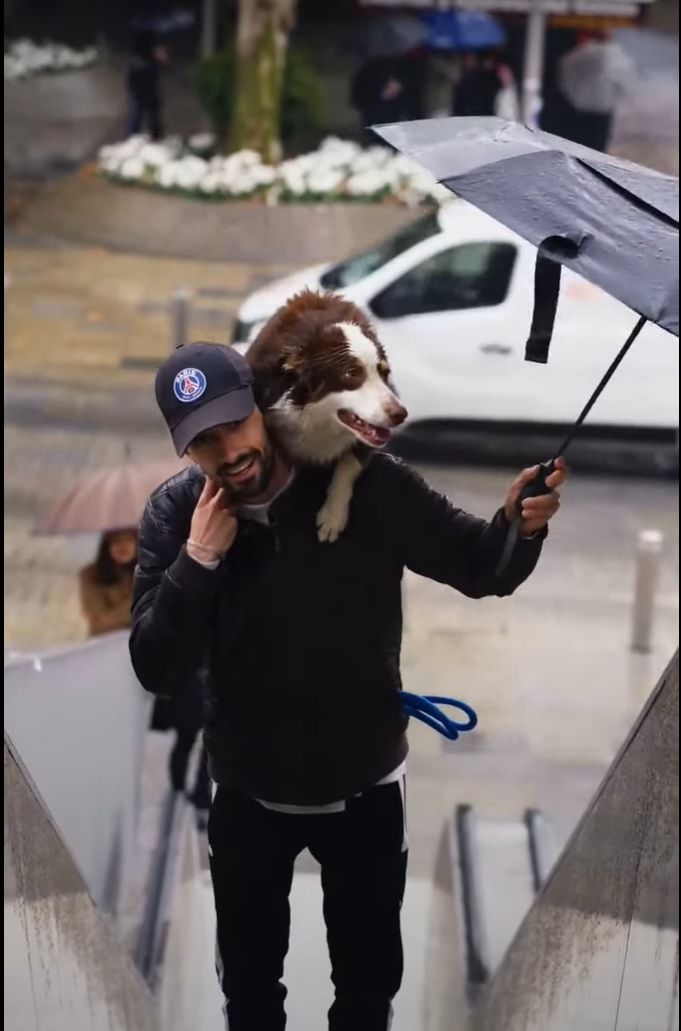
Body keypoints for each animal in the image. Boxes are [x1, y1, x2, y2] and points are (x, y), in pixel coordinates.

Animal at [244, 288, 403, 540]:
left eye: (384, 373)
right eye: (352, 374)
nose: (401, 414)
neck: (318, 421)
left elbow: (349, 465)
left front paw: (332, 516)